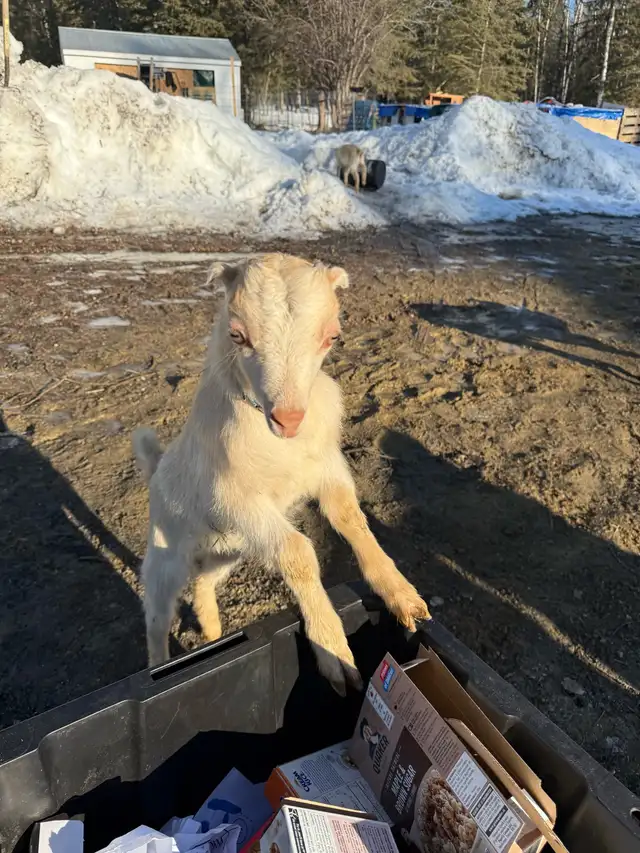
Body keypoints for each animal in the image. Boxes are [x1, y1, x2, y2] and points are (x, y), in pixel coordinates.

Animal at [132, 254, 430, 694]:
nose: (287, 419)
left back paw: (212, 628)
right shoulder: (236, 498)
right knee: (156, 612)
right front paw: (334, 651)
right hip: (166, 552)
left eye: (332, 337)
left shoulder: (325, 467)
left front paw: (401, 595)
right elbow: (298, 551)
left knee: (204, 579)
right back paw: (159, 666)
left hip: (232, 547)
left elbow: (349, 517)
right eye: (237, 334)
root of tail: (157, 467)